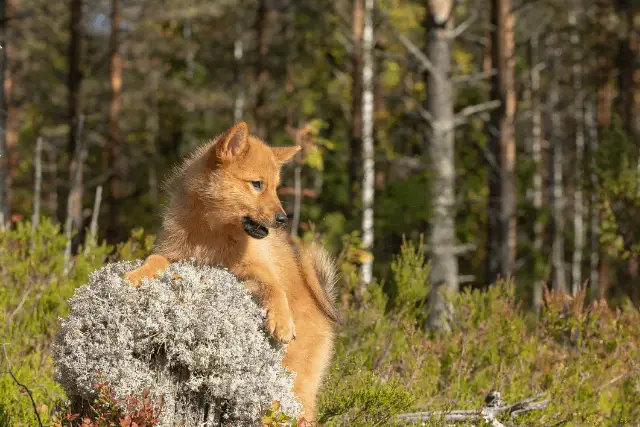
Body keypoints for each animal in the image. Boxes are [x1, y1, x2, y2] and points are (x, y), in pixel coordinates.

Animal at [122, 121, 338, 422]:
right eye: (257, 184)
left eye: (276, 188)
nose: (283, 219)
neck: (212, 233)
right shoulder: (171, 253)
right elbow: (154, 260)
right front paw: (137, 274)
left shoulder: (253, 267)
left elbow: (274, 286)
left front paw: (282, 321)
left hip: (296, 385)